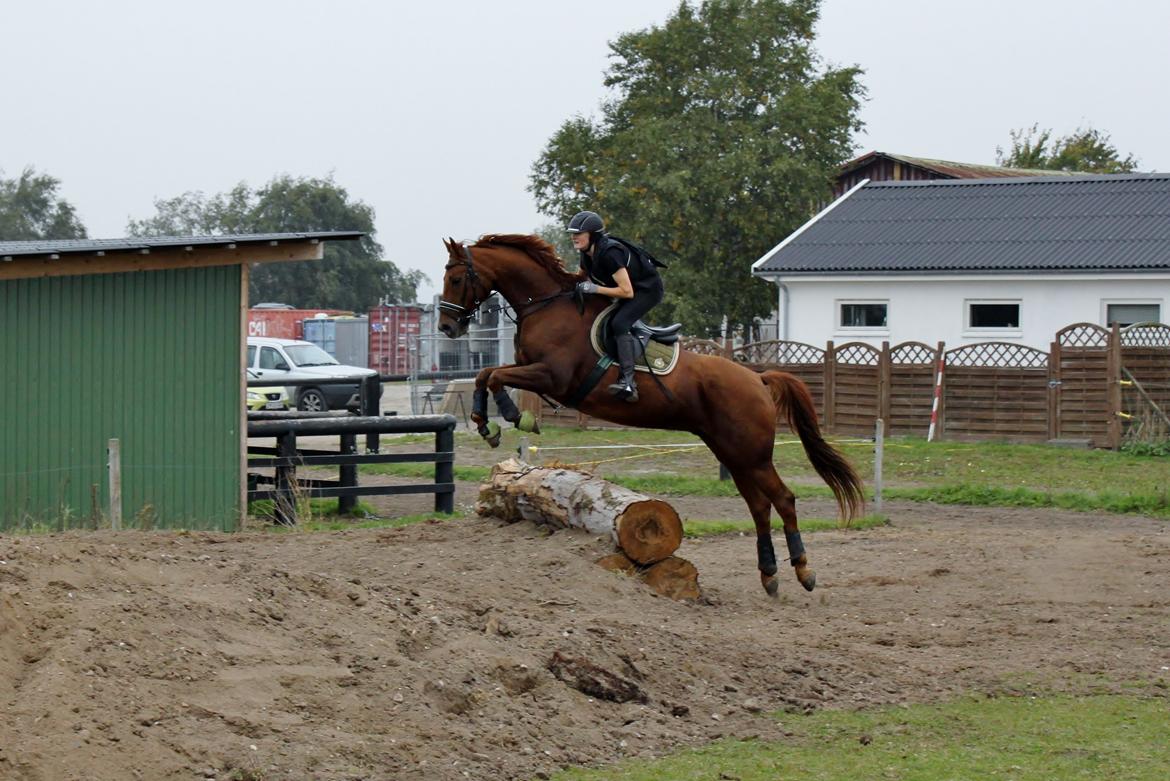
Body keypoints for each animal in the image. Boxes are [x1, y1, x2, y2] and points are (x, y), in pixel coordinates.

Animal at [435, 235, 865, 593]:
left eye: (455, 279)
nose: (446, 327)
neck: (546, 305)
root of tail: (757, 379)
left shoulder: (553, 377)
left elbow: (495, 376)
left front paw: (512, 416)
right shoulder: (533, 372)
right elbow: (486, 374)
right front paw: (485, 423)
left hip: (753, 454)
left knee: (784, 500)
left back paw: (803, 571)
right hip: (734, 454)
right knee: (759, 506)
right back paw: (769, 575)